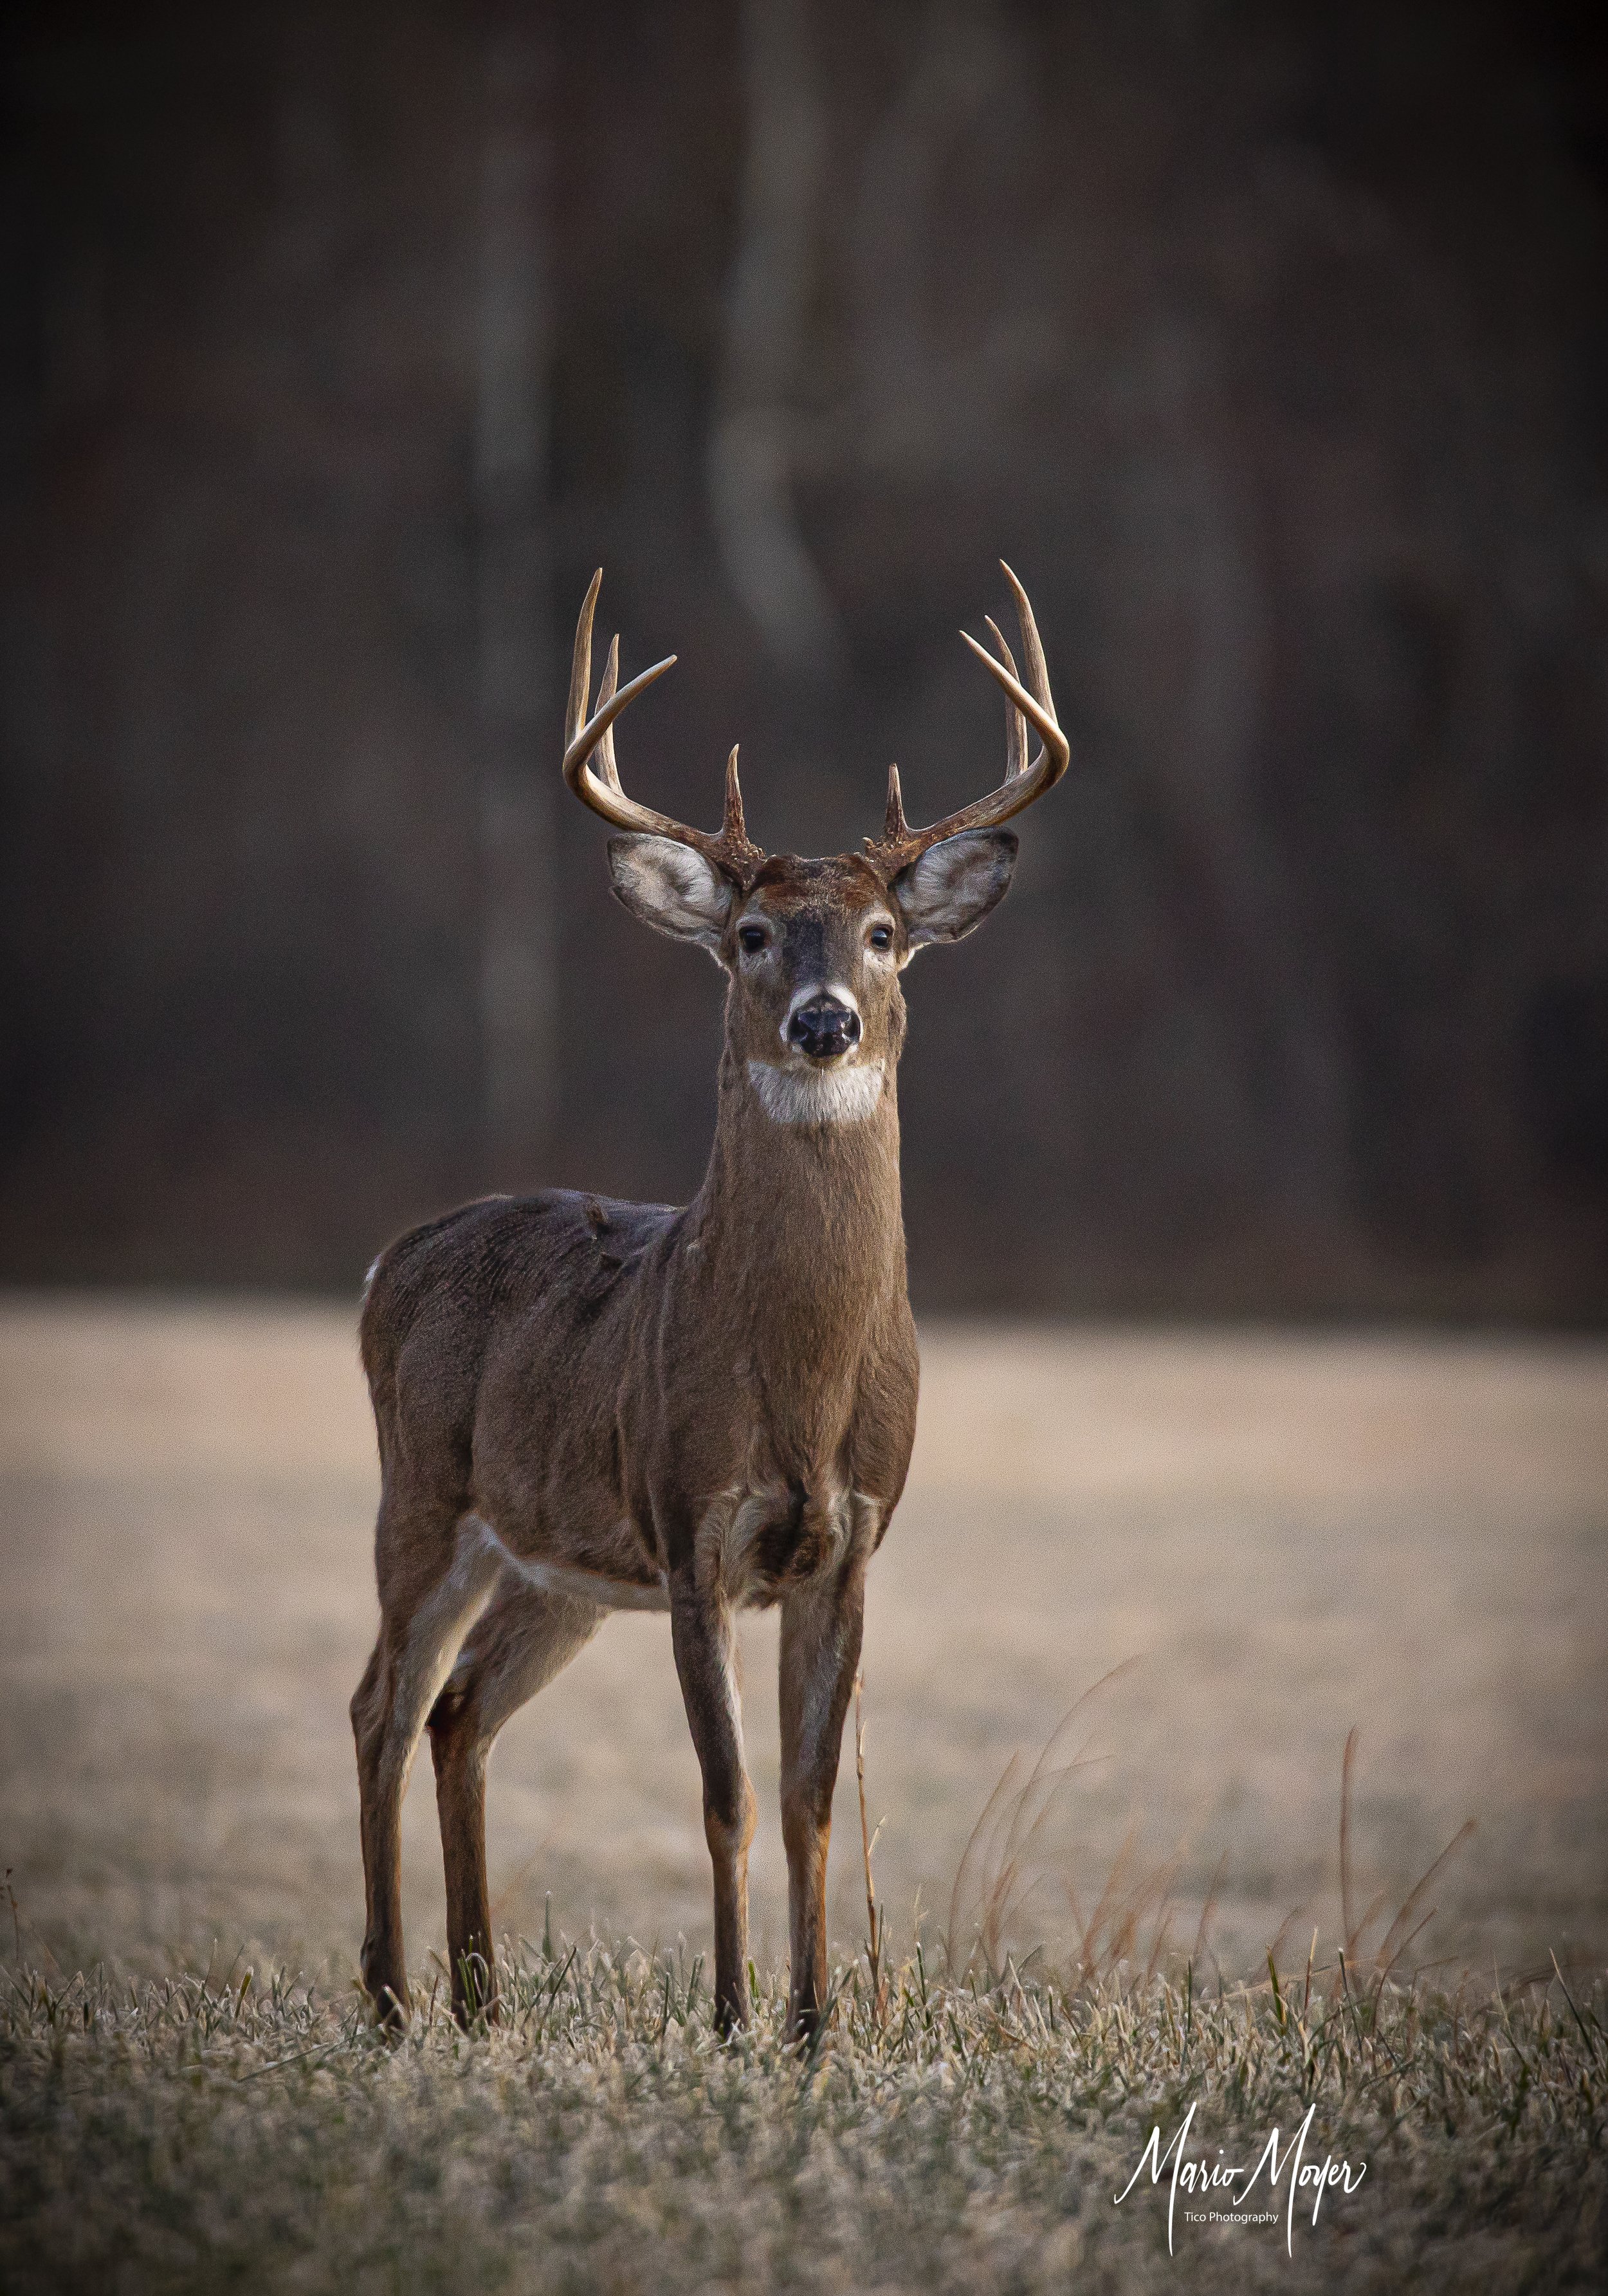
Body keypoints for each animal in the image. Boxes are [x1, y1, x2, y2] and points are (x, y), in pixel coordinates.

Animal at [351, 564, 1066, 2039]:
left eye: (883, 933)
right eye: (749, 933)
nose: (823, 1019)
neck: (800, 1379)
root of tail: (391, 1260)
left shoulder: (850, 1542)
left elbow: (806, 1800)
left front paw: (812, 2025)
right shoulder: (692, 1529)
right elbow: (727, 1792)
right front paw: (734, 2017)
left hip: (550, 1562)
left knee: (459, 1710)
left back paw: (480, 2000)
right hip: (425, 1495)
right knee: (380, 1703)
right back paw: (390, 1997)